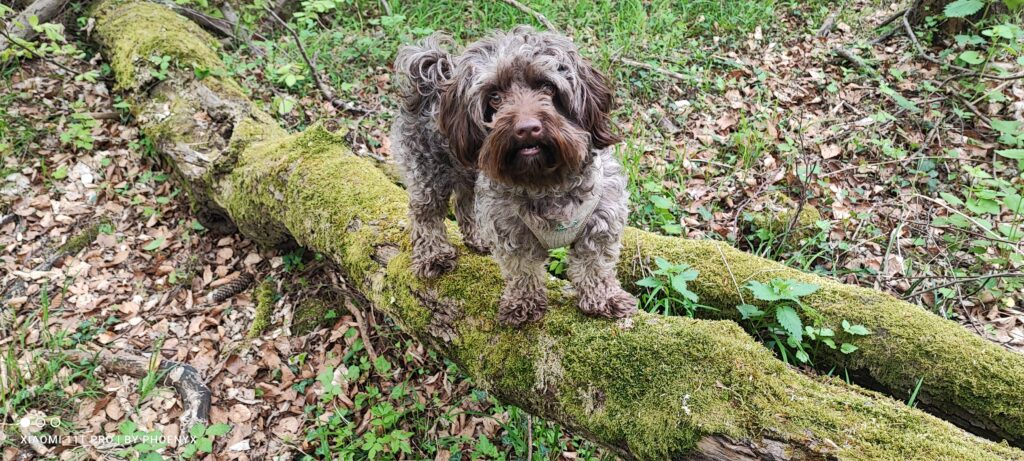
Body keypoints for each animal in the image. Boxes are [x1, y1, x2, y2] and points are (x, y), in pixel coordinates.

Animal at [389, 27, 634, 325]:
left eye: (547, 87)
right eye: (495, 96)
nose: (527, 128)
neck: (546, 181)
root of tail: (434, 74)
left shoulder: (601, 220)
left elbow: (594, 266)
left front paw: (604, 299)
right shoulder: (510, 230)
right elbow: (523, 271)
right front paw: (524, 306)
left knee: (464, 203)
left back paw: (477, 239)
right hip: (428, 174)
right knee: (426, 215)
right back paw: (432, 256)